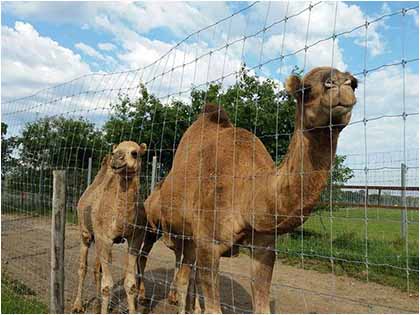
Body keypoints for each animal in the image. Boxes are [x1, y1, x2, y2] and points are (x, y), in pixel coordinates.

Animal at [73, 141, 148, 314]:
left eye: (134, 153)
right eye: (115, 151)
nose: (116, 159)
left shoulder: (136, 238)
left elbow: (130, 284)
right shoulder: (105, 239)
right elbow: (107, 285)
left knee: (96, 269)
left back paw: (96, 305)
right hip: (85, 233)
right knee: (82, 267)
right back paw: (78, 305)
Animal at [145, 66, 358, 314]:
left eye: (354, 83)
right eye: (304, 89)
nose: (341, 84)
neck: (247, 191)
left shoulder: (264, 246)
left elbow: (262, 304)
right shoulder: (208, 242)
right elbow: (212, 306)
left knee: (186, 274)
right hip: (173, 231)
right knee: (180, 274)